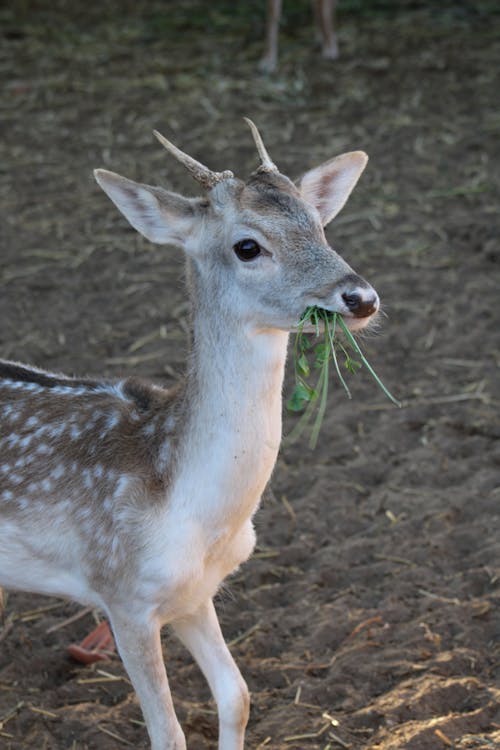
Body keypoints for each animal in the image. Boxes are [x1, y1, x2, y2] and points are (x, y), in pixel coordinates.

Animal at [0, 120, 376, 748]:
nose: (361, 296)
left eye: (320, 225)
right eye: (247, 246)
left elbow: (237, 697)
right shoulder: (121, 595)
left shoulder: (197, 593)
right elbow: (169, 734)